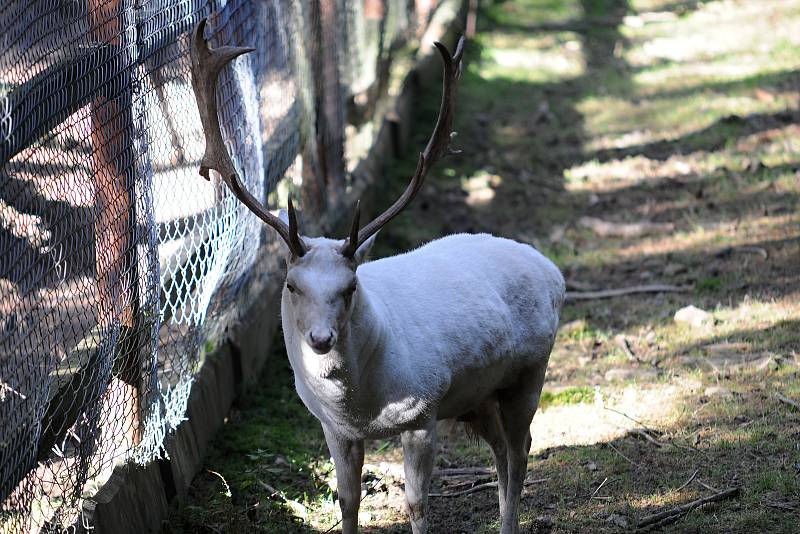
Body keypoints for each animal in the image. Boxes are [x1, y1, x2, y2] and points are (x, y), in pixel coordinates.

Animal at [191, 21, 564, 534]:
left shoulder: (424, 412)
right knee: (502, 453)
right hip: (479, 395)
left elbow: (417, 504)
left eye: (350, 287)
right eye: (292, 286)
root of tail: (552, 270)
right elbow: (346, 499)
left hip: (529, 372)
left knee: (521, 450)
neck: (363, 407)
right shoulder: (334, 429)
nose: (320, 339)